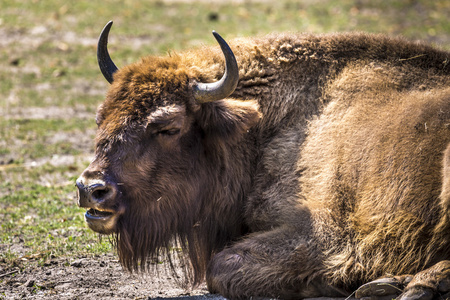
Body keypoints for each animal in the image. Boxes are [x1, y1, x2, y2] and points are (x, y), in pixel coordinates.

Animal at [77, 21, 450, 300]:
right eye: (100, 118)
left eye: (168, 127)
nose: (91, 188)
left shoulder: (324, 230)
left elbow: (221, 266)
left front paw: (332, 282)